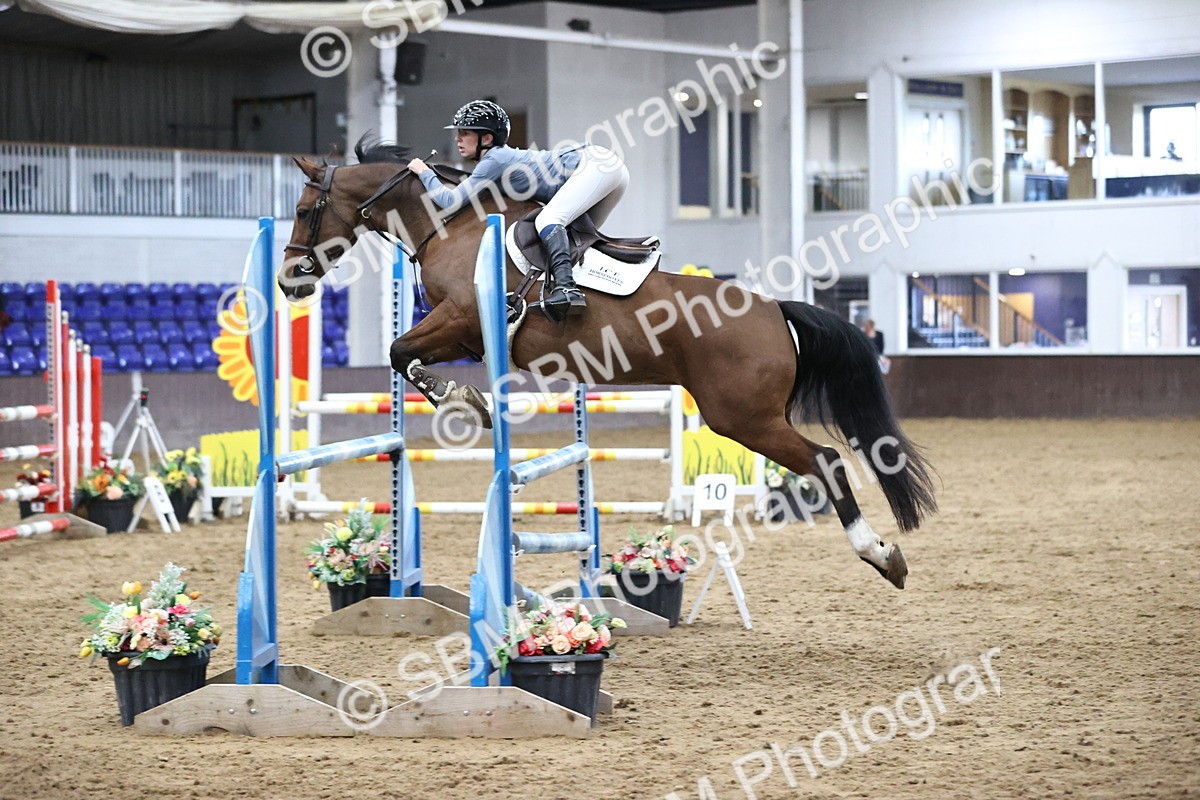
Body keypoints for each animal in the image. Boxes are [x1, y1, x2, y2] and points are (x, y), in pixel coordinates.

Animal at [278, 139, 937, 589]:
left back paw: (882, 556)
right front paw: (469, 400)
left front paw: (465, 402)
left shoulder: (461, 320)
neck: (451, 224)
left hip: (741, 417)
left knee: (826, 462)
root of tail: (775, 310)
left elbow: (401, 352)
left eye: (305, 208)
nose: (288, 280)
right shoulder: (462, 333)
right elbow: (404, 354)